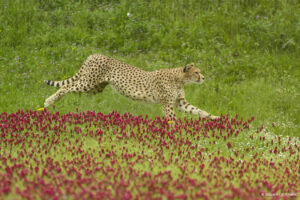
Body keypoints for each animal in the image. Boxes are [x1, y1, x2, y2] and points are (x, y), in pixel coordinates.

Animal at [44, 54, 218, 119]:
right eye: (196, 72)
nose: (203, 77)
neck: (179, 79)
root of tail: (94, 54)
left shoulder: (180, 103)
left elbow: (199, 111)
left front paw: (216, 118)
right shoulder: (167, 104)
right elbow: (173, 119)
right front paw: (178, 132)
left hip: (95, 88)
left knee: (68, 86)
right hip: (87, 83)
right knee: (65, 87)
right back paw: (48, 101)